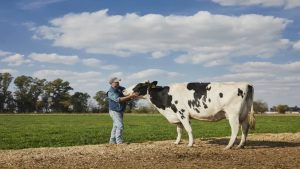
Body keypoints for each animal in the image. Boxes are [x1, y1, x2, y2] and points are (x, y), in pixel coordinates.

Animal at [127, 81, 256, 149]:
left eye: (138, 86)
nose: (124, 90)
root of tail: (246, 84)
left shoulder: (182, 113)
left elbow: (188, 129)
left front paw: (190, 144)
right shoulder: (177, 116)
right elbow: (179, 130)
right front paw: (177, 142)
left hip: (233, 114)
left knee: (235, 129)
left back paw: (229, 146)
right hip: (244, 114)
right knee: (245, 129)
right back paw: (241, 145)